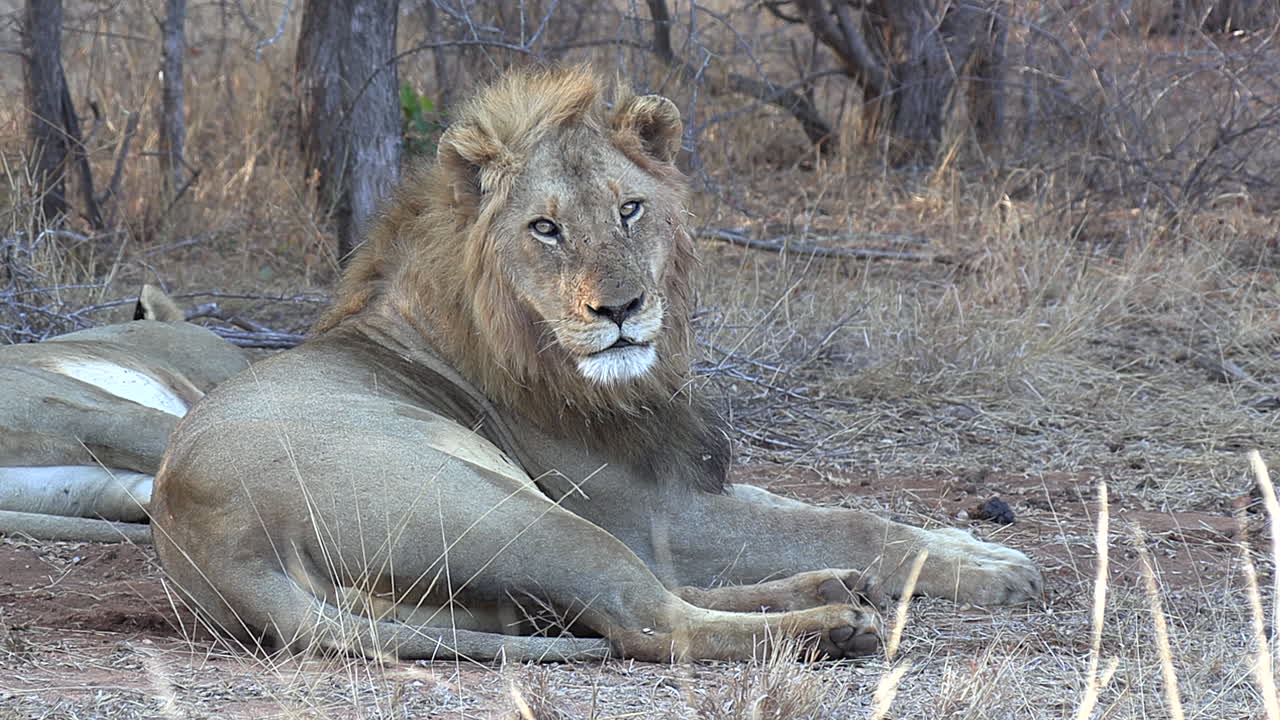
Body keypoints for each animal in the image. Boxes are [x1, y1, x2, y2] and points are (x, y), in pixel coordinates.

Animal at [152, 67, 1041, 664]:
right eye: (544, 229)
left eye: (630, 209)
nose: (620, 310)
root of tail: (219, 551)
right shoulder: (653, 512)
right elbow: (838, 519)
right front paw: (994, 575)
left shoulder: (682, 482)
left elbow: (831, 511)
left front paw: (976, 549)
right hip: (511, 511)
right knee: (649, 619)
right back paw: (832, 623)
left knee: (648, 600)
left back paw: (832, 588)